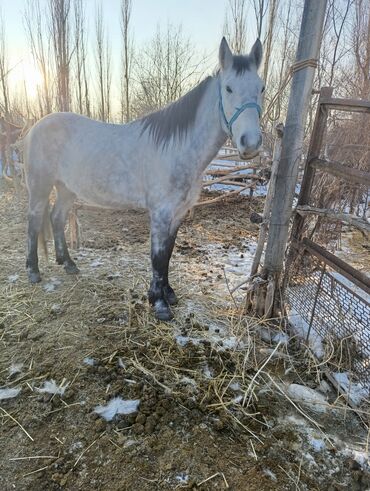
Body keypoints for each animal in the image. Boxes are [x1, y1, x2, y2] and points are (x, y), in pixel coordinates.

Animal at [24, 39, 264, 322]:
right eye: (228, 88)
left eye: (261, 88)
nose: (250, 143)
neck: (176, 149)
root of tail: (37, 126)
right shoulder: (160, 213)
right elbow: (157, 257)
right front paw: (159, 304)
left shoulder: (178, 214)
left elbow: (168, 253)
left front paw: (168, 294)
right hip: (40, 186)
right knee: (34, 222)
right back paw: (33, 272)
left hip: (66, 189)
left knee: (57, 218)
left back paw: (69, 264)